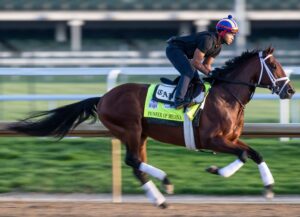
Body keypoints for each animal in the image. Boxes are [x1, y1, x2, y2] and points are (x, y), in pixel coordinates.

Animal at [7, 48, 296, 209]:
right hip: (131, 130)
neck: (227, 95)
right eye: (273, 65)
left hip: (141, 134)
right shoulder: (212, 139)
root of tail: (103, 98)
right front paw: (217, 170)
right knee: (133, 161)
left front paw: (269, 187)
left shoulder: (232, 139)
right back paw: (165, 183)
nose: (290, 90)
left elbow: (254, 153)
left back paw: (159, 198)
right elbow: (244, 155)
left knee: (136, 166)